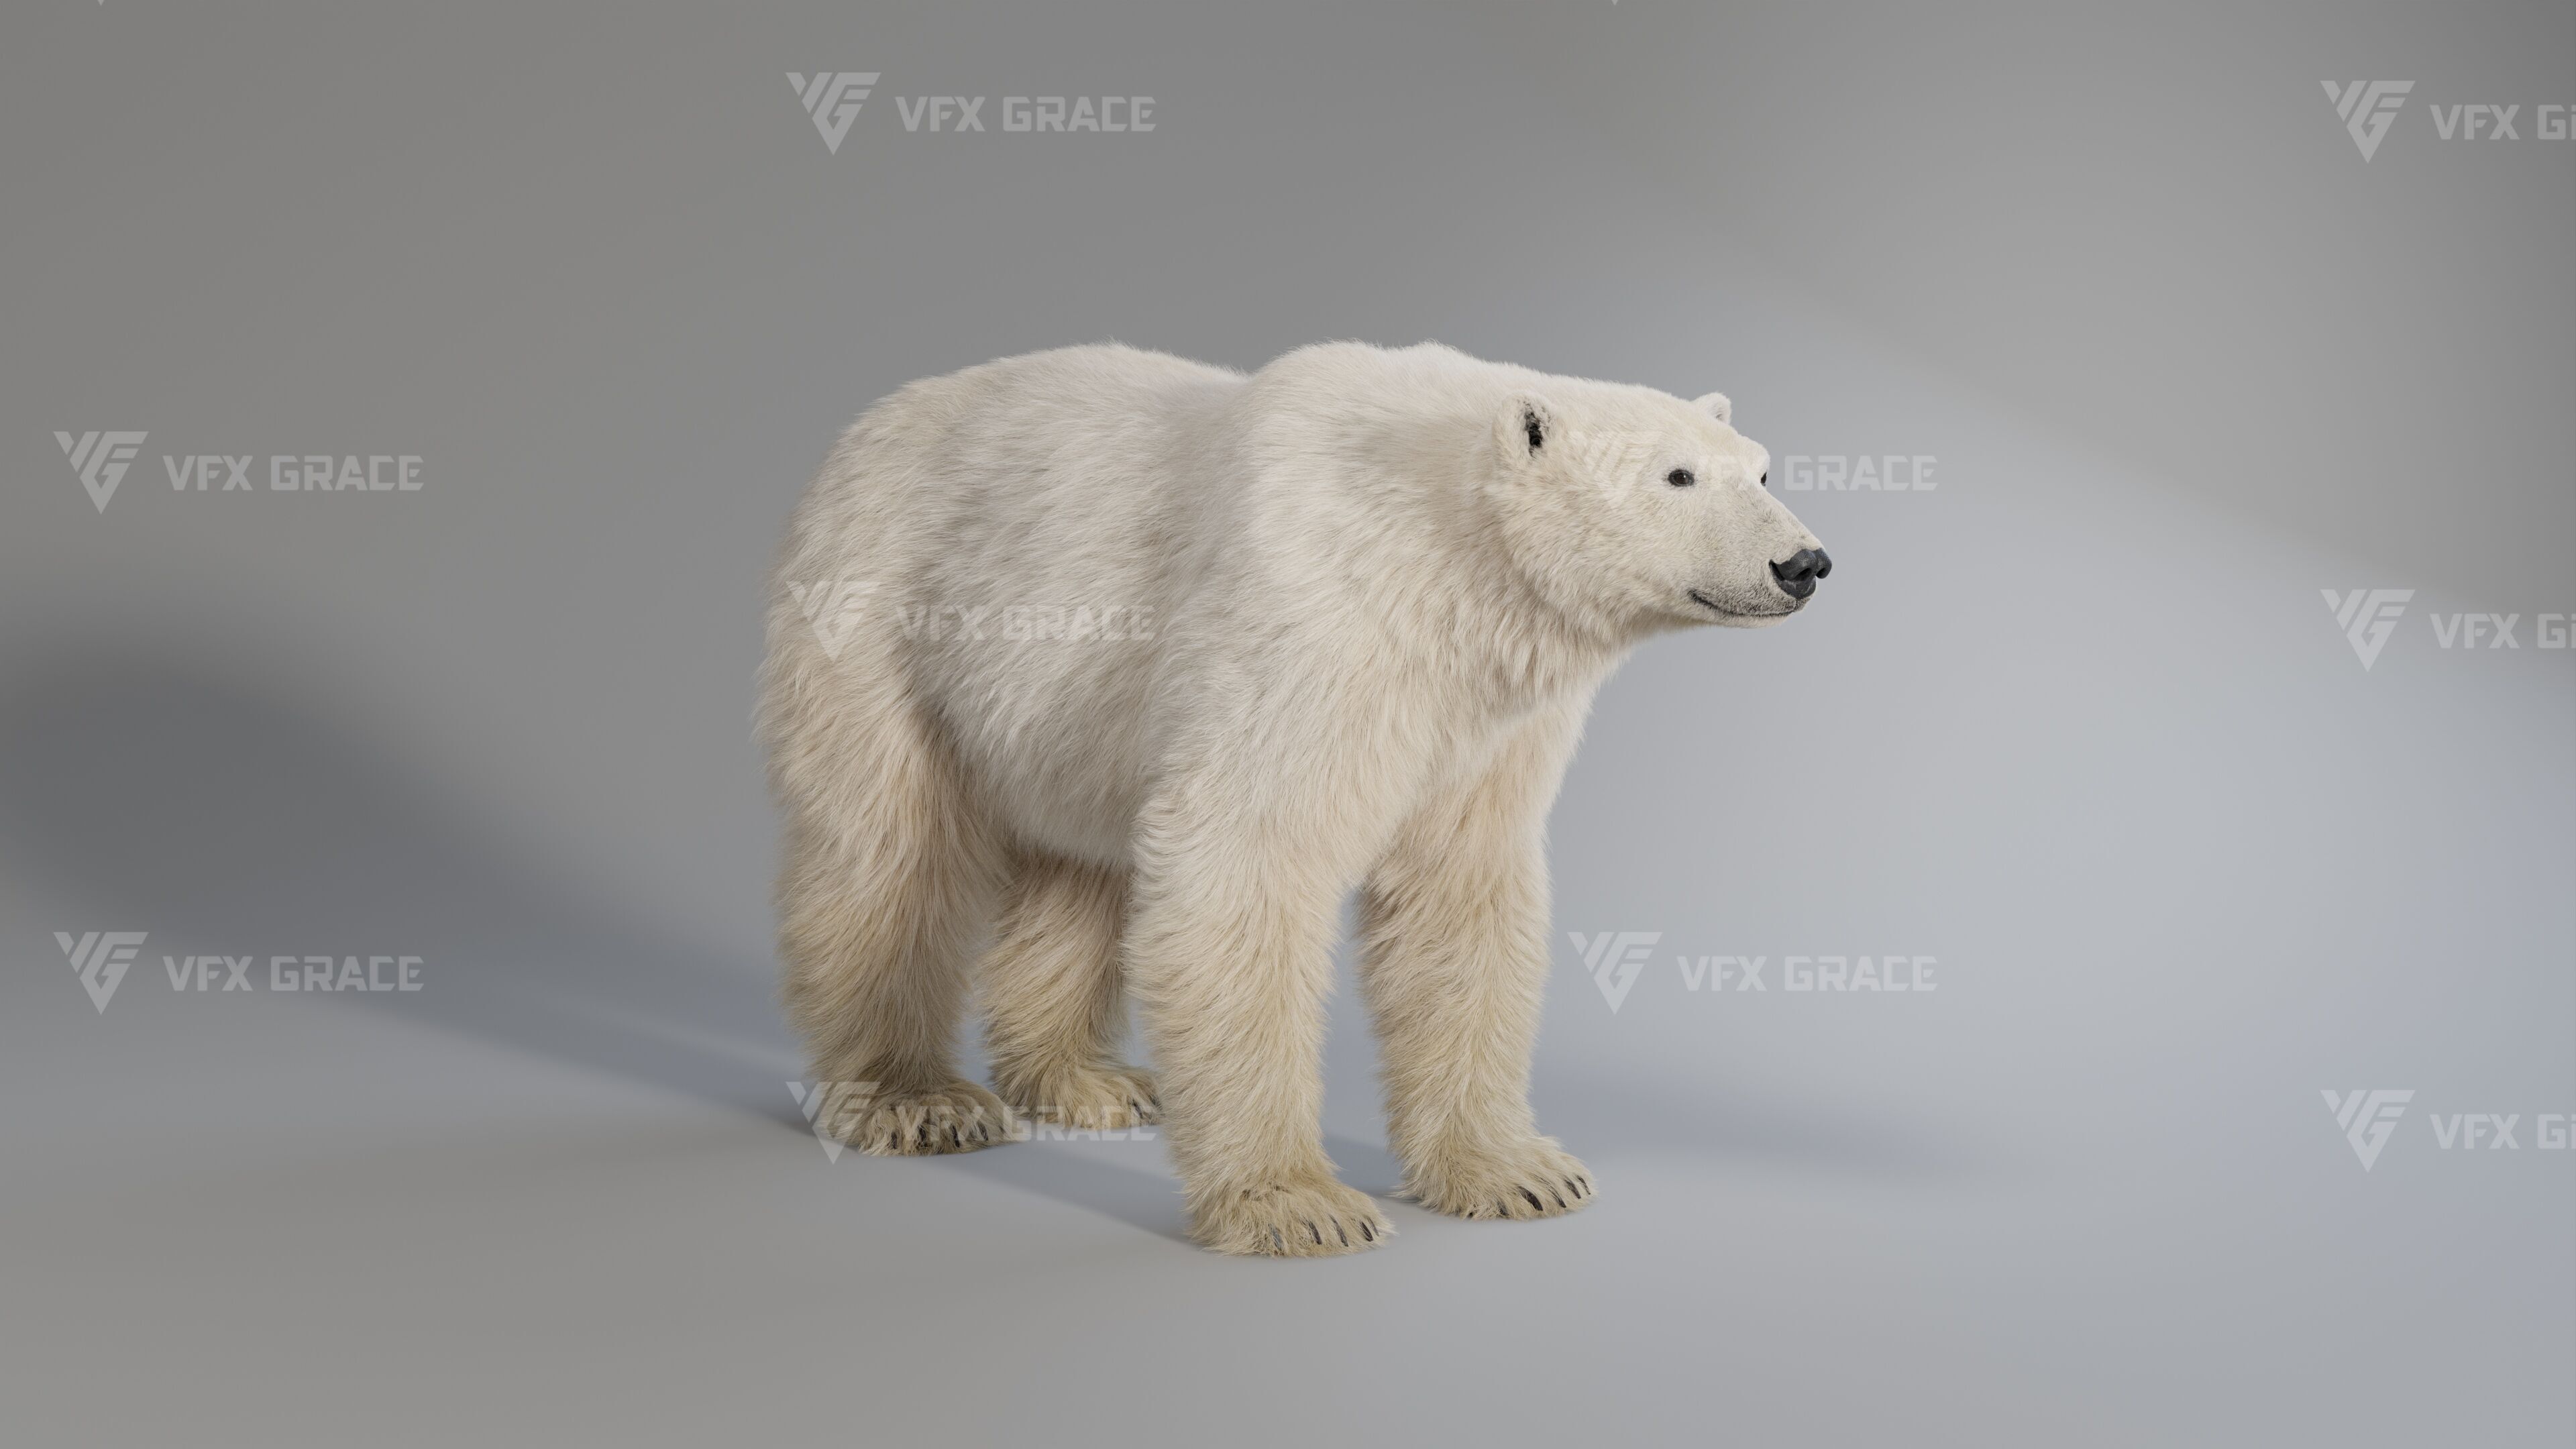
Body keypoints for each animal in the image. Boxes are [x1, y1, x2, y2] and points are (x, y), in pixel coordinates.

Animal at [759, 341, 1829, 1256]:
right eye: (1676, 476)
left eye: (1761, 472)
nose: (1805, 564)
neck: (1444, 551)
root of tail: (869, 424)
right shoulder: (1315, 622)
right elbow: (1247, 855)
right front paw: (1298, 1206)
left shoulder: (1486, 715)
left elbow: (1462, 891)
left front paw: (1518, 1172)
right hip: (886, 607)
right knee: (890, 849)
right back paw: (915, 1099)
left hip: (1066, 710)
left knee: (1081, 863)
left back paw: (1089, 1080)